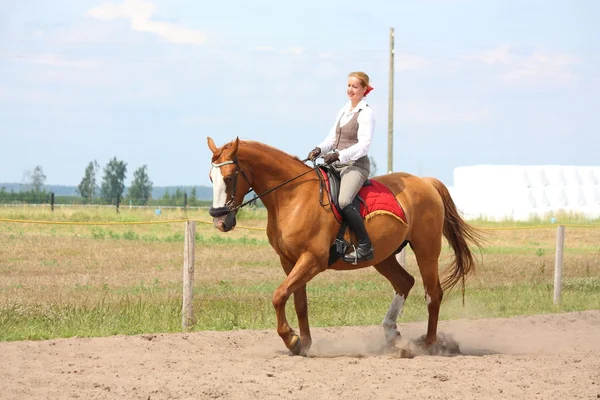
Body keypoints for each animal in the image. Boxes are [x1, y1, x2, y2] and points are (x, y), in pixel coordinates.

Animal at [206, 138, 482, 356]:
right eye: (211, 178)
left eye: (229, 178)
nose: (220, 221)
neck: (292, 197)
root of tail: (426, 182)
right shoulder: (290, 261)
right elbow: (298, 302)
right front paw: (304, 343)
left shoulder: (312, 260)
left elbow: (279, 295)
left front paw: (291, 339)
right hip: (382, 257)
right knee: (405, 282)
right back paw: (392, 336)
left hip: (426, 252)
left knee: (433, 294)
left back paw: (429, 345)